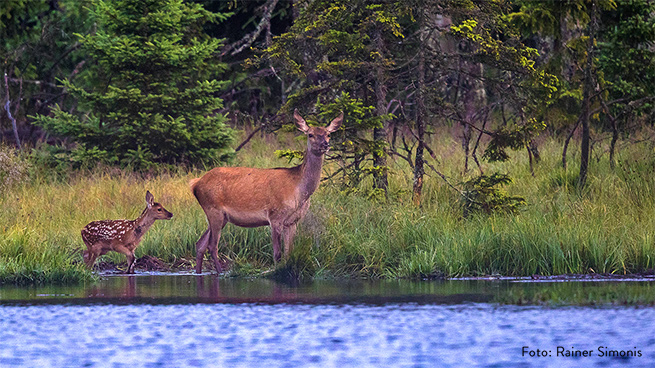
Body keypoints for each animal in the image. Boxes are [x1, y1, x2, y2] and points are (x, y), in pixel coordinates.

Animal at [190, 109, 344, 274]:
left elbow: (289, 252)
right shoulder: (275, 215)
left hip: (220, 216)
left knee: (200, 244)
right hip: (214, 209)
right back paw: (221, 273)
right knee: (212, 246)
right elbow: (277, 254)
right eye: (310, 134)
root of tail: (196, 184)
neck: (299, 190)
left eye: (328, 134)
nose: (325, 144)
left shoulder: (293, 221)